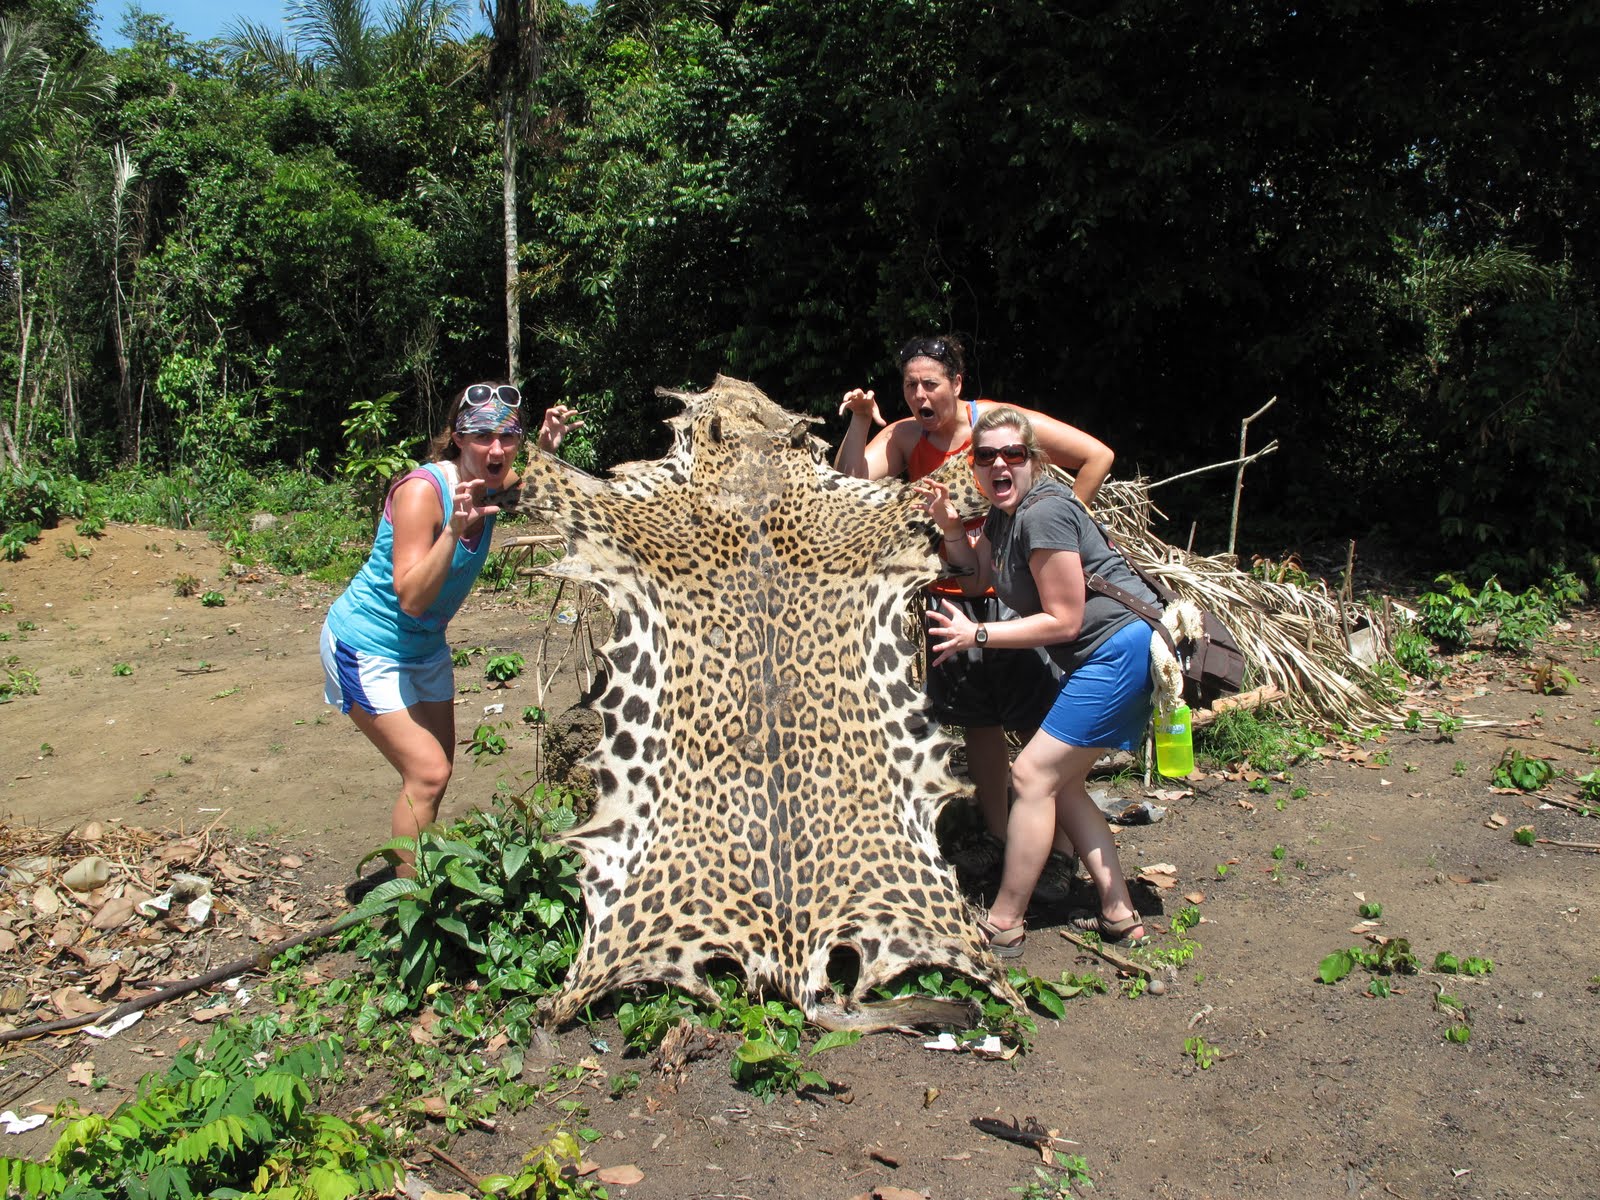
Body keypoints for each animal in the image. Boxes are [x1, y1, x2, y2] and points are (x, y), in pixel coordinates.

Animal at [514, 375, 1019, 1028]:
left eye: (717, 395)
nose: (728, 379)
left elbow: (548, 478)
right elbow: (548, 476)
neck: (753, 477)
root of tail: (793, 964)